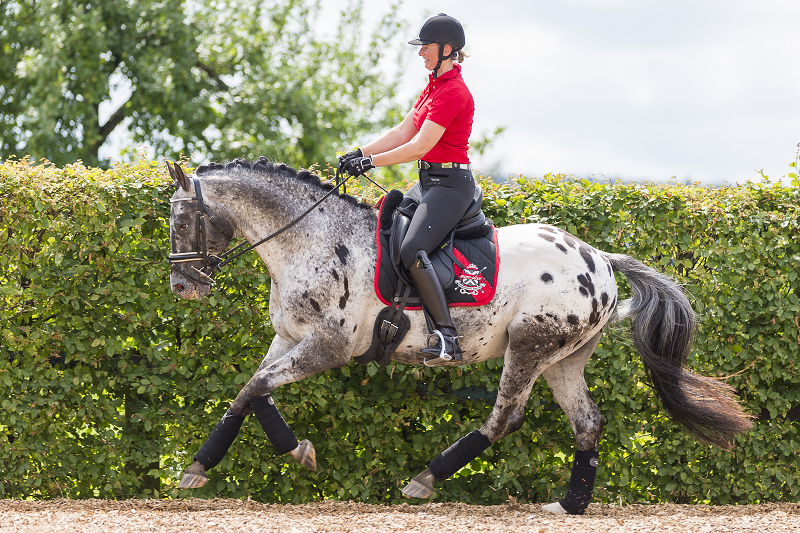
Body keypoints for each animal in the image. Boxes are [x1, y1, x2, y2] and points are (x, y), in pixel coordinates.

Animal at [166, 157, 752, 512]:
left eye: (182, 222)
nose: (181, 287)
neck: (313, 239)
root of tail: (601, 260)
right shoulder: (289, 339)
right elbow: (250, 389)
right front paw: (204, 465)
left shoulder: (326, 347)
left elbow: (257, 386)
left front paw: (291, 454)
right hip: (565, 357)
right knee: (587, 421)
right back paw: (569, 504)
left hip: (529, 345)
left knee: (505, 417)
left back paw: (425, 479)